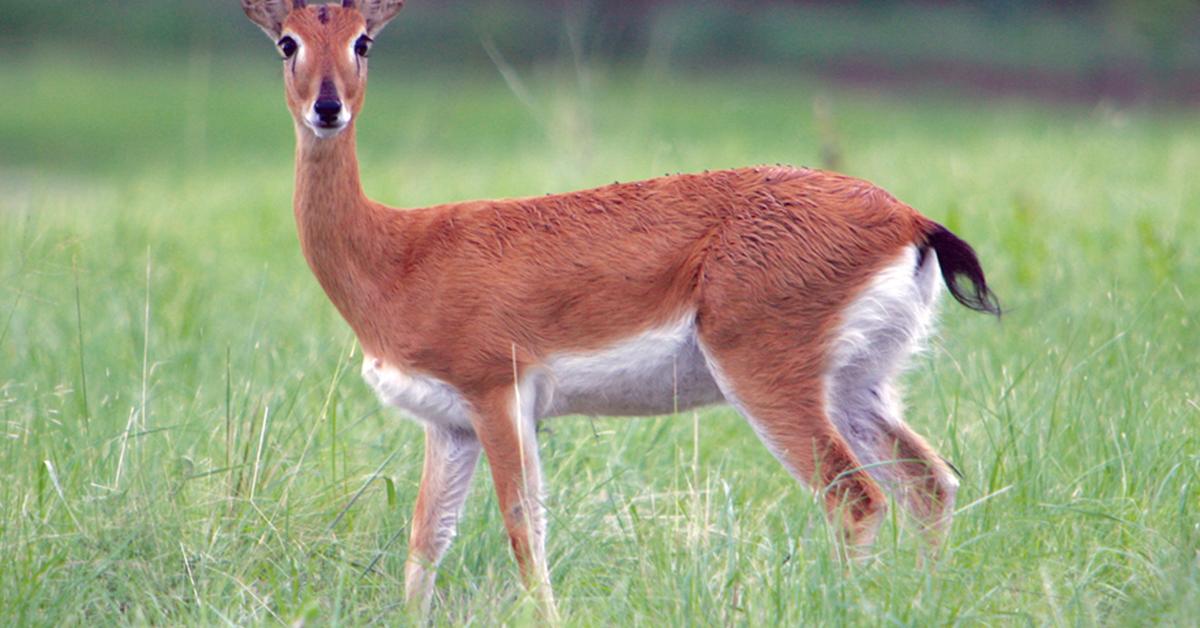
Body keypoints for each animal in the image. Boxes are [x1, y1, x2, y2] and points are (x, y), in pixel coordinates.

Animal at [238, 0, 998, 619]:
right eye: (287, 41)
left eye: (363, 39)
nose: (327, 108)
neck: (397, 254)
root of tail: (911, 221)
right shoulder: (446, 424)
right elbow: (427, 545)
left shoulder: (496, 395)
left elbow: (524, 525)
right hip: (858, 384)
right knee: (929, 484)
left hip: (768, 378)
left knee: (857, 497)